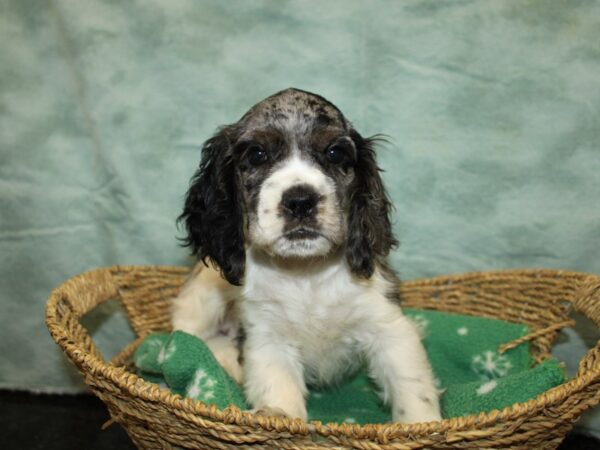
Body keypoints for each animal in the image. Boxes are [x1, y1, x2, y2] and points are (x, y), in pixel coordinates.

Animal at [171, 88, 442, 422]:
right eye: (257, 154)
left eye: (334, 153)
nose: (300, 201)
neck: (305, 273)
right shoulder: (267, 339)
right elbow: (280, 392)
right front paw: (278, 416)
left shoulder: (388, 326)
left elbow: (412, 391)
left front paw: (422, 426)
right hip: (201, 299)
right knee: (186, 336)